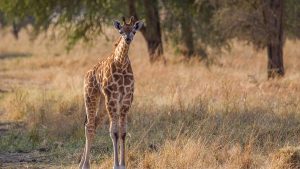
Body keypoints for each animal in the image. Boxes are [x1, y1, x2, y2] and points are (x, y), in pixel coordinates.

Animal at [79, 16, 144, 169]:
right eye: (121, 31)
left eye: (134, 31)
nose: (127, 39)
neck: (121, 64)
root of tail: (87, 73)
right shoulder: (113, 99)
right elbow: (114, 132)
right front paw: (115, 165)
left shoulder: (126, 99)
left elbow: (123, 132)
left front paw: (123, 164)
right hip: (91, 96)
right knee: (89, 126)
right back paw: (85, 165)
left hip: (103, 103)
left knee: (94, 124)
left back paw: (82, 163)